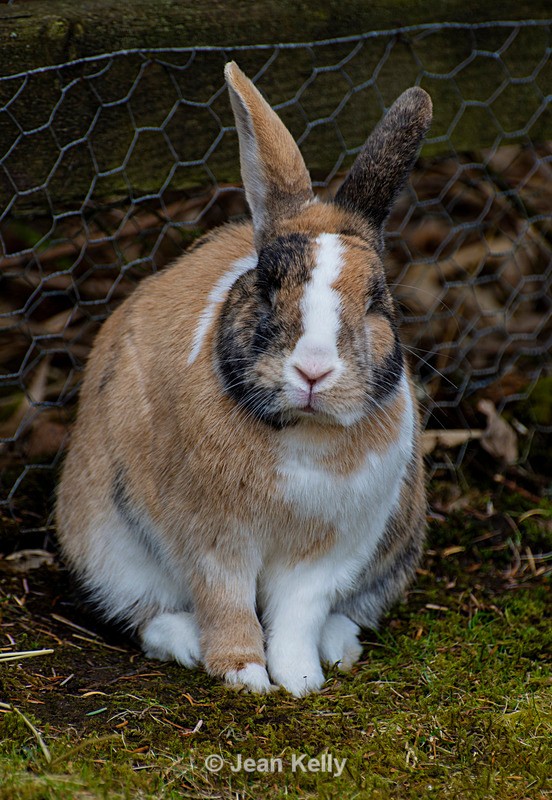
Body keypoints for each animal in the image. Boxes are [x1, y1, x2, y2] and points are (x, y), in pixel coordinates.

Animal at [56, 61, 432, 697]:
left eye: (377, 301)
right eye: (267, 286)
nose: (313, 370)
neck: (301, 434)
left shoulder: (327, 554)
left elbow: (300, 613)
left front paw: (301, 680)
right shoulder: (213, 542)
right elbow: (225, 604)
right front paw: (245, 676)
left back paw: (338, 647)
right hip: (105, 539)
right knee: (145, 613)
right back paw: (186, 644)